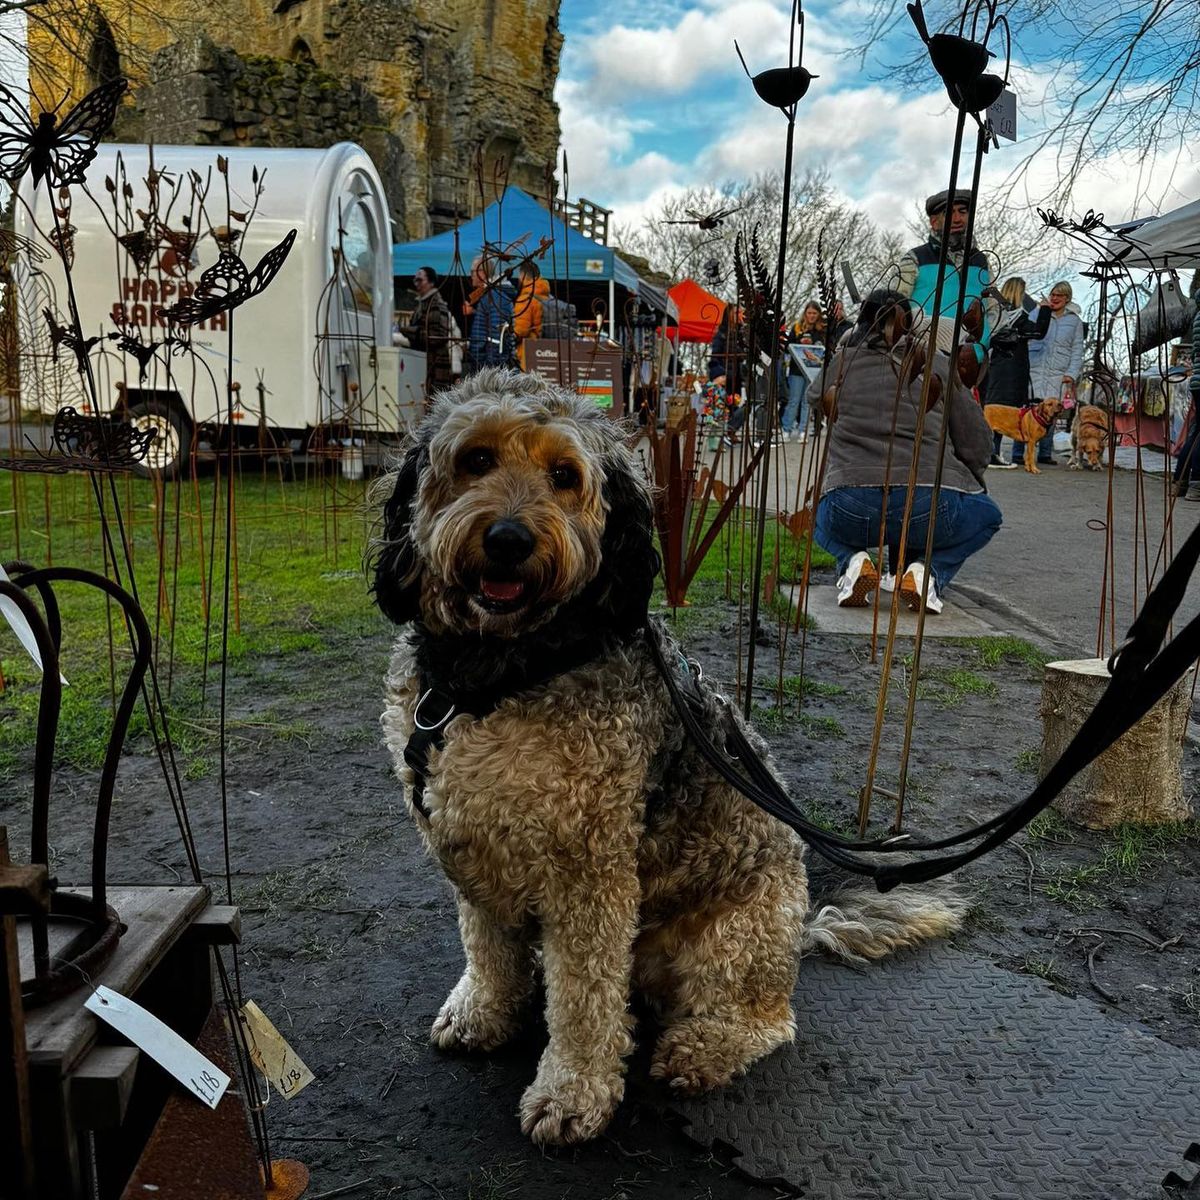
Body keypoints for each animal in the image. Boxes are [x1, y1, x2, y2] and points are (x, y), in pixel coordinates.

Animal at [372, 369, 964, 1147]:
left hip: (732, 940)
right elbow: (488, 948)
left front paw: (572, 1092)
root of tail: (803, 923)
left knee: (766, 1019)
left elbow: (585, 1002)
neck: (497, 673)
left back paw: (705, 1046)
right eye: (475, 459)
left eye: (564, 476)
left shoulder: (589, 870)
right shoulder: (471, 843)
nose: (507, 539)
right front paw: (483, 1013)